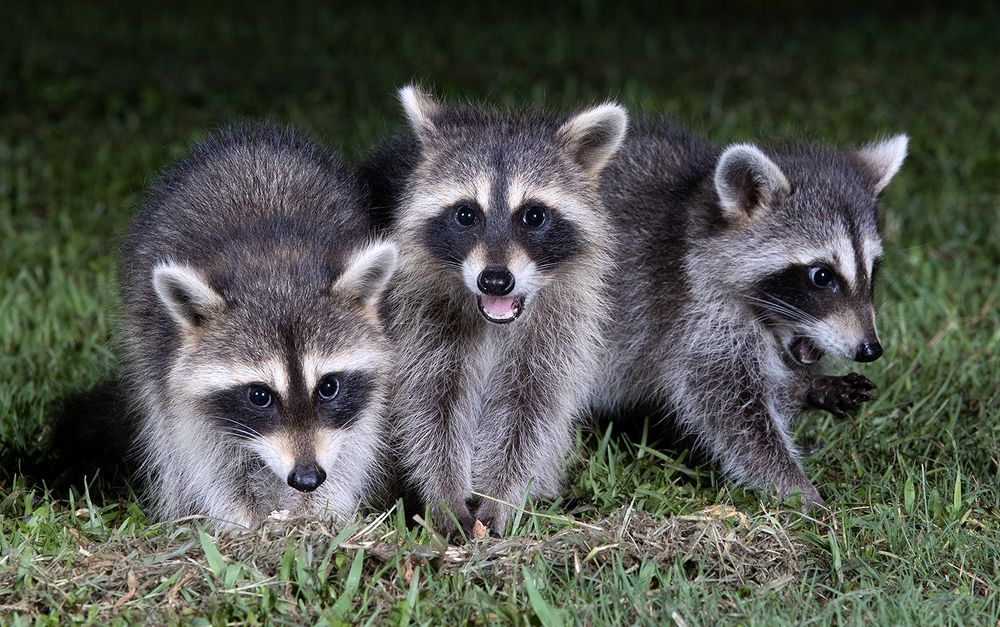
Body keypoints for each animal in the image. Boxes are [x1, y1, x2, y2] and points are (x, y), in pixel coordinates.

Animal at [119, 123, 398, 528]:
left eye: (329, 387)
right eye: (259, 396)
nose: (307, 478)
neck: (274, 271)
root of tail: (249, 140)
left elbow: (354, 446)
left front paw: (318, 514)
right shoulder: (176, 379)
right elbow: (206, 457)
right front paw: (242, 521)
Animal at [366, 86, 627, 535]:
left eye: (534, 215)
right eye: (466, 214)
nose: (495, 281)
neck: (495, 321)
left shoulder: (559, 332)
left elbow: (529, 415)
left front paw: (503, 497)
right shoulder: (419, 319)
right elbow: (430, 407)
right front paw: (445, 494)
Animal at [594, 119, 907, 507]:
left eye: (873, 271)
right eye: (821, 276)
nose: (870, 350)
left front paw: (811, 386)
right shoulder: (694, 316)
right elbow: (731, 410)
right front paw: (795, 488)